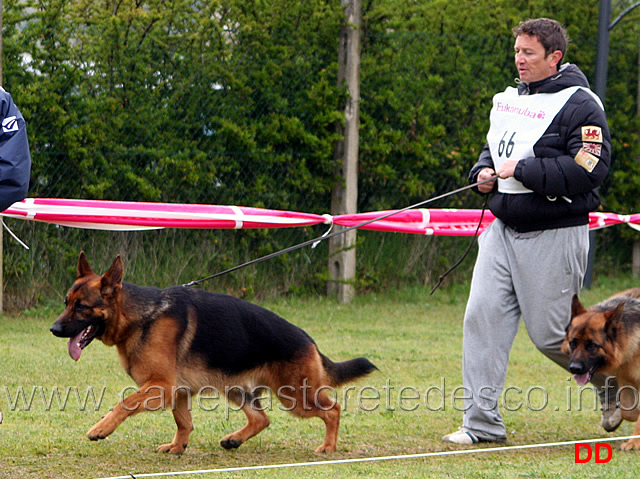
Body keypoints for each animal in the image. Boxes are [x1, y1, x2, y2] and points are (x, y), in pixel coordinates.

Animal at [51, 253, 380, 456]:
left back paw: (328, 447)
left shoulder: (162, 386)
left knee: (333, 410)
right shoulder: (178, 391)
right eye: (66, 302)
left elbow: (125, 403)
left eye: (82, 307)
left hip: (295, 397)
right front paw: (178, 447)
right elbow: (183, 422)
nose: (54, 329)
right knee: (262, 419)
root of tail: (309, 340)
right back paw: (234, 439)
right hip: (237, 389)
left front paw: (101, 428)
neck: (141, 317)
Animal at [564, 288, 640, 450]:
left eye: (592, 345)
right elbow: (628, 411)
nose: (574, 368)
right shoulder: (626, 380)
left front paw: (634, 442)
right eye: (573, 343)